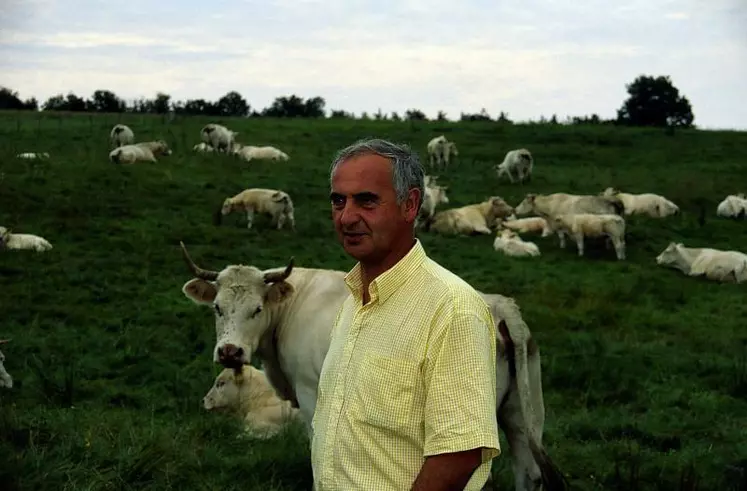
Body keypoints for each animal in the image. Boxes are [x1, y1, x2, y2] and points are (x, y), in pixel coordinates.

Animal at [178, 242, 568, 491]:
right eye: (217, 308)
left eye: (256, 309)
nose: (230, 352)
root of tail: (501, 306)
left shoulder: (311, 395)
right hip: (520, 414)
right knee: (529, 472)